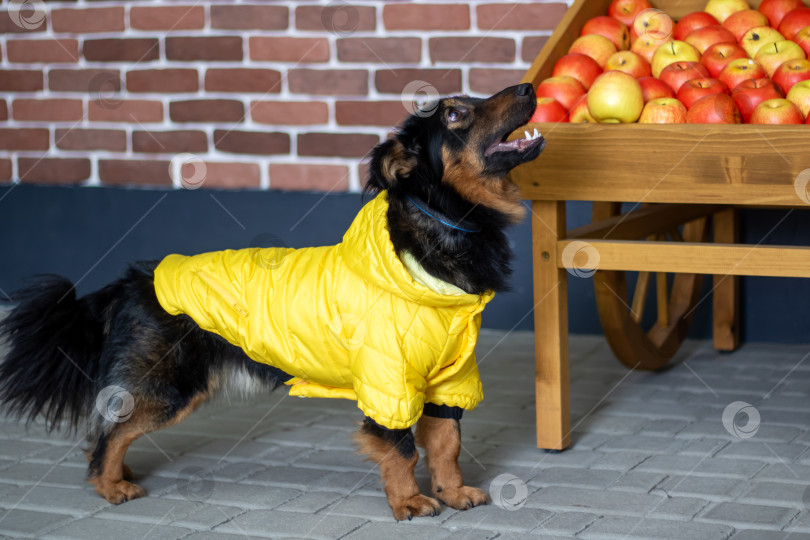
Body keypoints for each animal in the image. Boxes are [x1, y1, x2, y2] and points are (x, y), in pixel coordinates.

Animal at [1, 83, 544, 520]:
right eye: (454, 114)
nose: (528, 86)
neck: (447, 223)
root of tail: (131, 280)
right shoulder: (386, 379)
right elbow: (403, 449)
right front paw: (409, 500)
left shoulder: (450, 378)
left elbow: (447, 444)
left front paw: (453, 492)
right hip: (168, 385)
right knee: (108, 432)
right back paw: (109, 483)